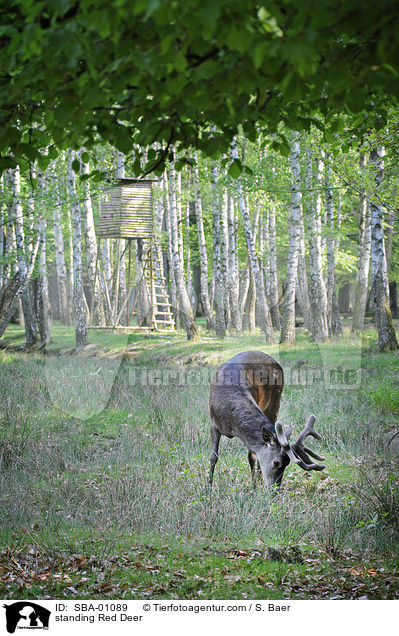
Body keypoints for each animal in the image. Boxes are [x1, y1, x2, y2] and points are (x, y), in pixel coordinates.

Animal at [209, 352, 324, 486]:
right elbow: (213, 457)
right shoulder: (214, 424)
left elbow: (252, 456)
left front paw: (254, 486)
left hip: (275, 402)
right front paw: (208, 486)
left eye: (287, 463)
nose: (276, 486)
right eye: (277, 462)